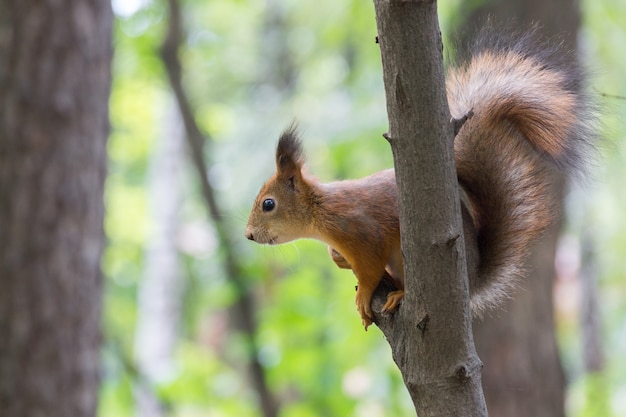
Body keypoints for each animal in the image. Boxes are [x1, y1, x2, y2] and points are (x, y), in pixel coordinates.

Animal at [241, 31, 592, 328]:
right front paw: (337, 258)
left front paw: (362, 298)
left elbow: (370, 270)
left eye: (268, 204)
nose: (248, 235)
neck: (321, 211)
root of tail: (472, 282)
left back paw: (399, 294)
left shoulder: (363, 233)